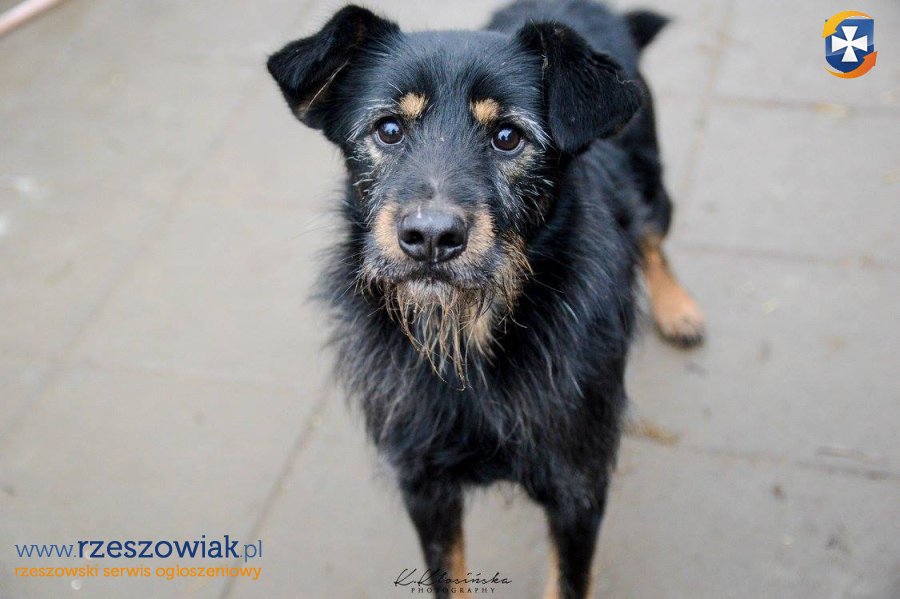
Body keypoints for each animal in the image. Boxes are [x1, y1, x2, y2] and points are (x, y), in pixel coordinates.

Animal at [267, 1, 704, 597]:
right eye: (388, 129)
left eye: (507, 136)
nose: (430, 237)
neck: (469, 336)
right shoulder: (425, 485)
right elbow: (448, 577)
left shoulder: (578, 488)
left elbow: (568, 581)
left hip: (649, 173)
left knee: (652, 233)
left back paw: (677, 307)